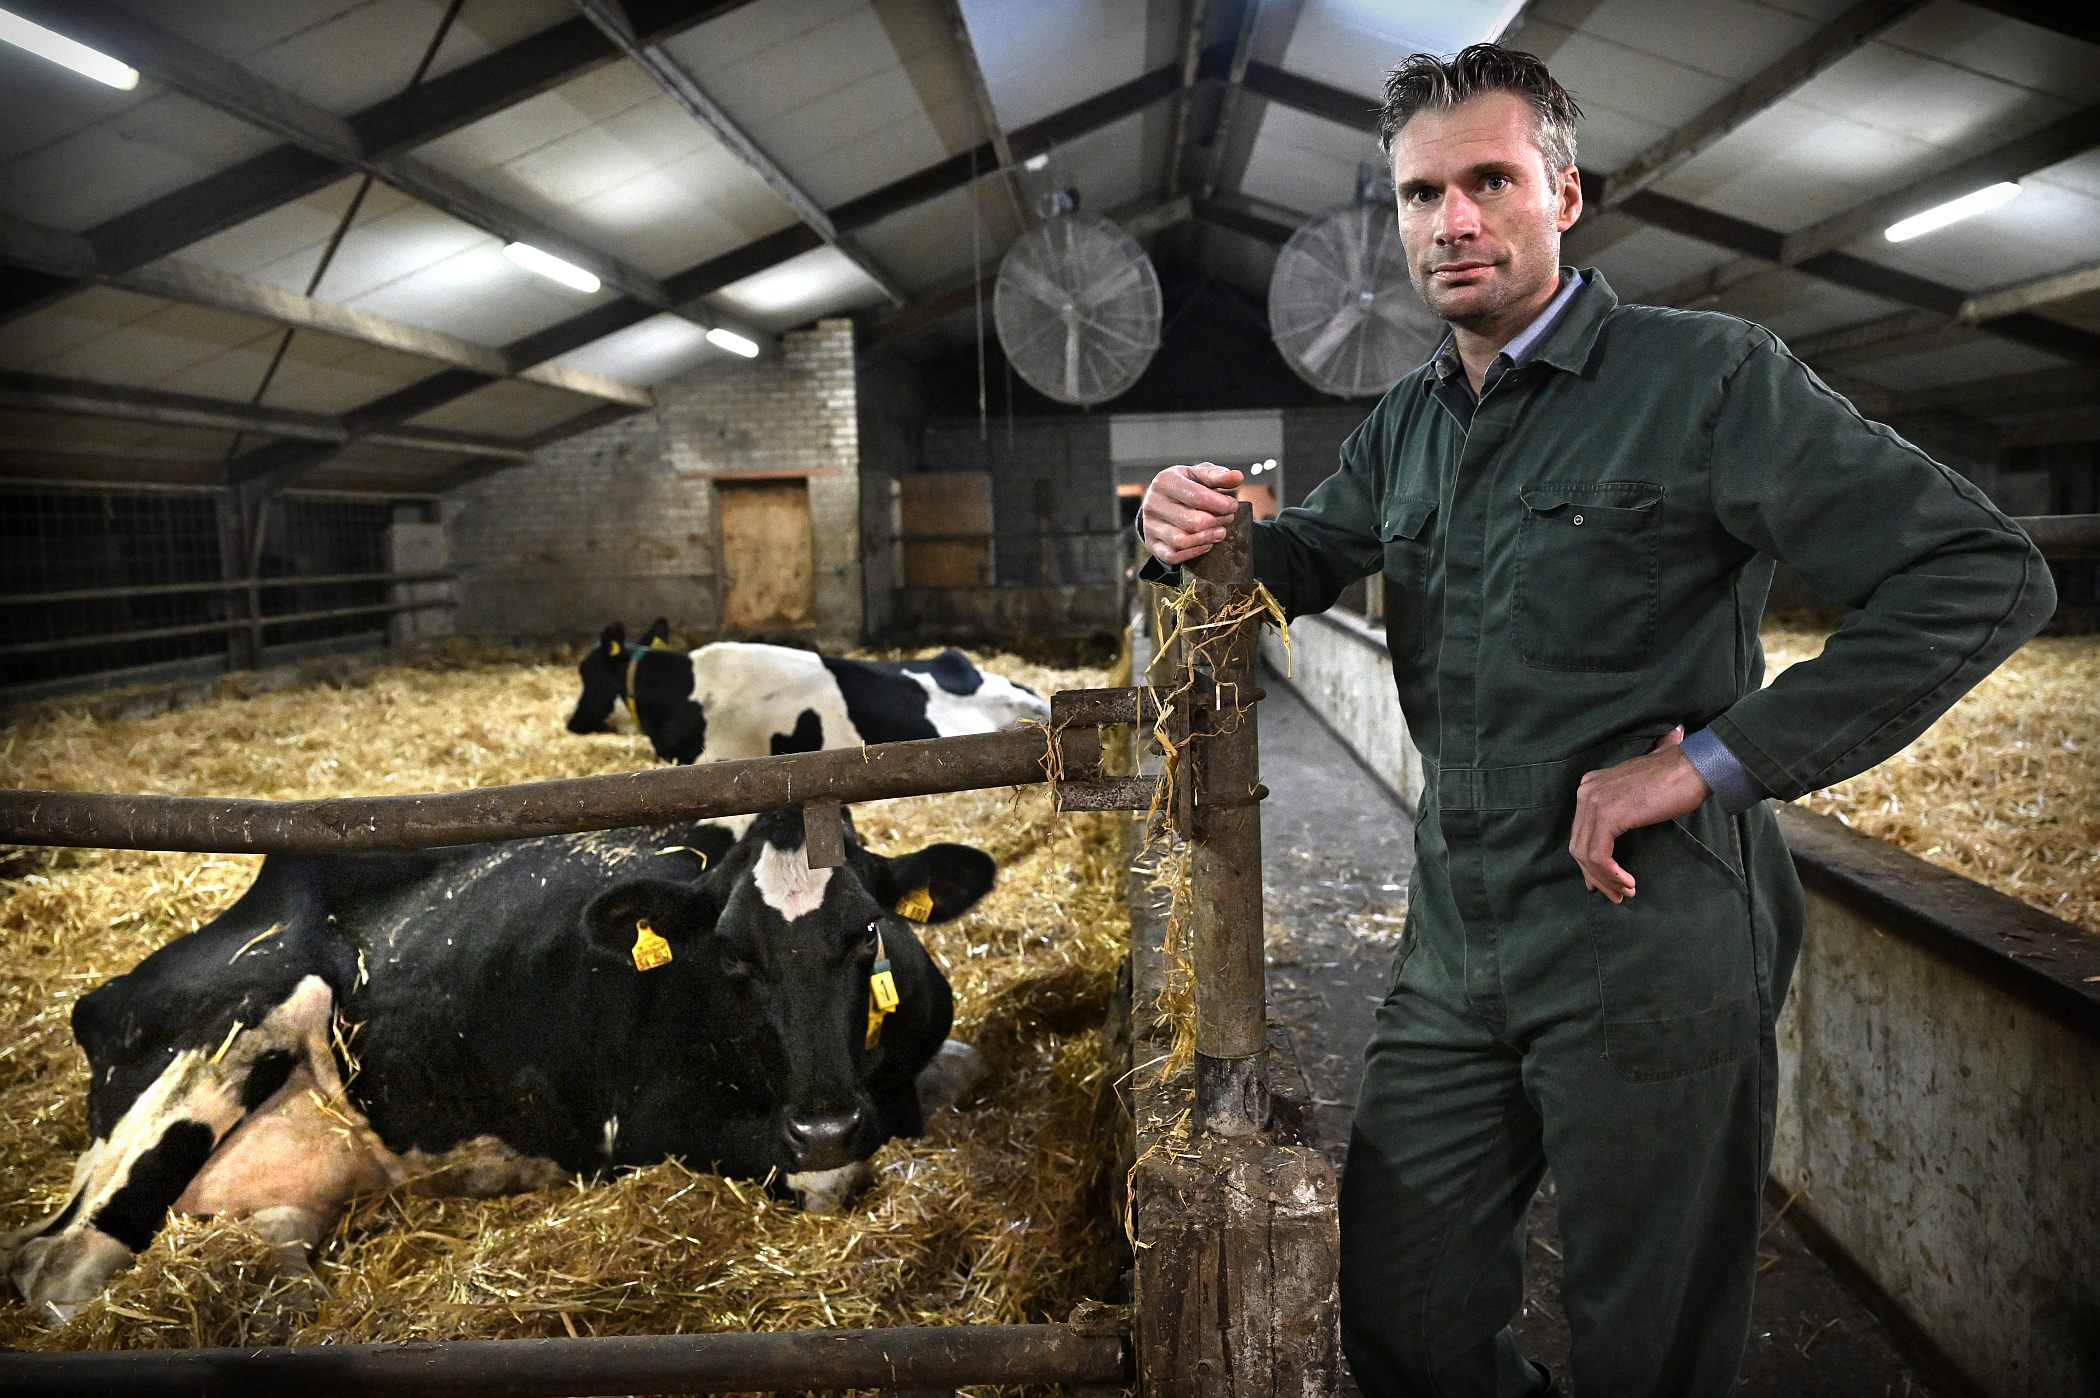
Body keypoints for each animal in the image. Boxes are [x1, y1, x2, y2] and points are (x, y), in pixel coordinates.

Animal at [2, 806, 991, 1318]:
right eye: (733, 954)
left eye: (867, 932)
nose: (825, 1120)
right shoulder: (643, 1126)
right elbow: (830, 1178)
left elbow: (963, 1069)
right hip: (229, 1034)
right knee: (55, 1264)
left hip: (301, 1176)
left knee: (269, 1231)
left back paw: (288, 1298)